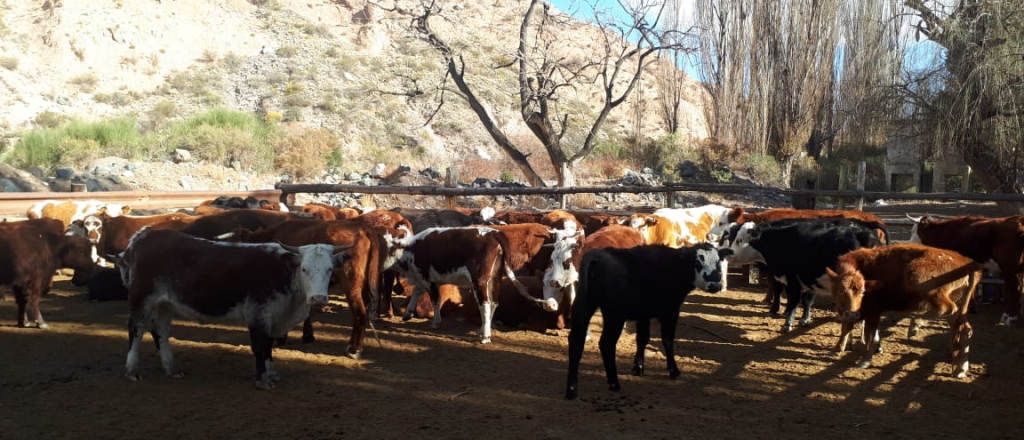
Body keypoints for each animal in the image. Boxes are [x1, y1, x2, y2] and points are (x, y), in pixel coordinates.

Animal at [119, 228, 350, 390]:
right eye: (304, 269)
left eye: (330, 269)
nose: (318, 298)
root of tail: (143, 235)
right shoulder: (258, 314)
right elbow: (260, 347)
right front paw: (262, 380)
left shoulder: (273, 318)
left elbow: (269, 346)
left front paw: (271, 374)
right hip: (141, 299)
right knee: (136, 329)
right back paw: (132, 370)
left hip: (164, 304)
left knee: (161, 331)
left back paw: (172, 368)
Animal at [724, 217, 884, 331]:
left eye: (739, 240)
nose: (728, 254)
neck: (780, 240)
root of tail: (865, 233)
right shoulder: (807, 281)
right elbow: (806, 300)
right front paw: (804, 320)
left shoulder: (792, 280)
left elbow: (792, 302)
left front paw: (787, 324)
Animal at [823, 244, 983, 378]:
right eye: (841, 290)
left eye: (863, 292)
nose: (852, 313)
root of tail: (966, 262)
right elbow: (847, 328)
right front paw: (839, 347)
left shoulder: (873, 313)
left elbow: (869, 334)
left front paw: (865, 360)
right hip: (959, 310)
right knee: (964, 330)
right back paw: (960, 369)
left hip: (918, 278)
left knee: (947, 308)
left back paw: (914, 326)